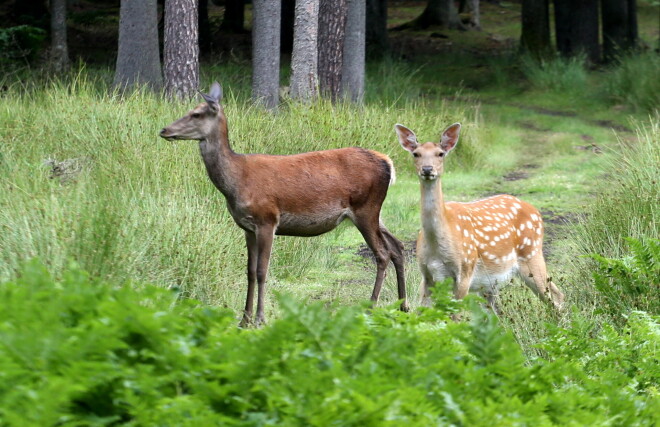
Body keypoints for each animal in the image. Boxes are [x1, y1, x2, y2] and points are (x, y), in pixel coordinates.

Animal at [160, 82, 408, 326]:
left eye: (196, 114)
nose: (164, 130)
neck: (235, 182)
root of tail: (387, 162)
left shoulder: (267, 220)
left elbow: (262, 271)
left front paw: (260, 319)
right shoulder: (247, 227)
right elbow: (249, 271)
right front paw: (244, 319)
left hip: (365, 208)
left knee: (383, 253)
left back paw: (371, 307)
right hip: (375, 212)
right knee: (397, 246)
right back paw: (403, 306)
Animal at [394, 122, 564, 312]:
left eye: (440, 153)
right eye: (416, 154)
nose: (427, 169)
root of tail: (535, 211)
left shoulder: (465, 271)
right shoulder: (427, 275)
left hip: (531, 254)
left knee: (556, 296)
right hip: (490, 283)